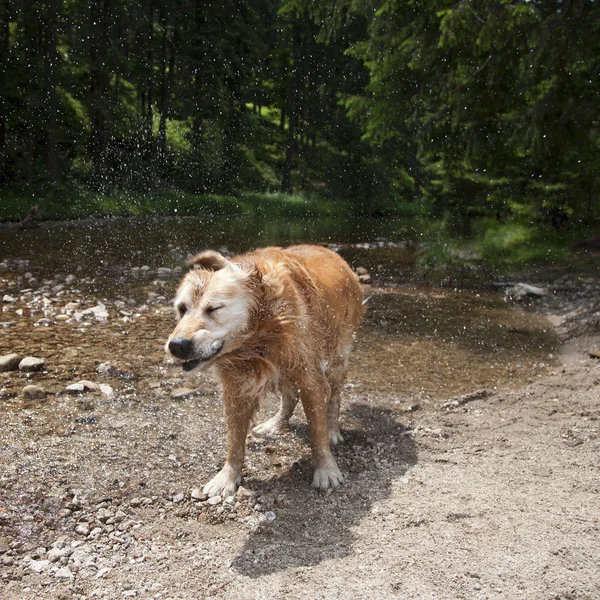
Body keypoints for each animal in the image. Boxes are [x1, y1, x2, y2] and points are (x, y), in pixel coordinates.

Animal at [165, 245, 364, 497]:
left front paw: (326, 470)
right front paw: (227, 477)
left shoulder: (309, 374)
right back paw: (275, 424)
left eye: (214, 309)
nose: (177, 345)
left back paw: (333, 429)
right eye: (181, 309)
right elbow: (234, 439)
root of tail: (334, 254)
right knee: (290, 396)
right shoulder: (237, 386)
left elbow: (317, 432)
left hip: (338, 354)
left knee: (335, 394)